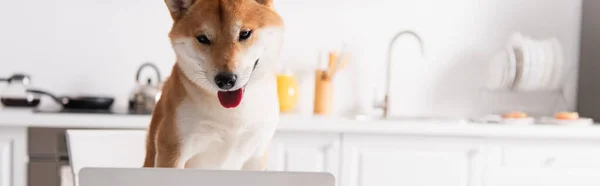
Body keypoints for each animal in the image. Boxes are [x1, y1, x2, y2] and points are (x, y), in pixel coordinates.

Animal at [144, 0, 286, 170]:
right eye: (203, 38)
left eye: (244, 34)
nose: (225, 79)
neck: (232, 114)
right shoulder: (172, 148)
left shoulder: (257, 155)